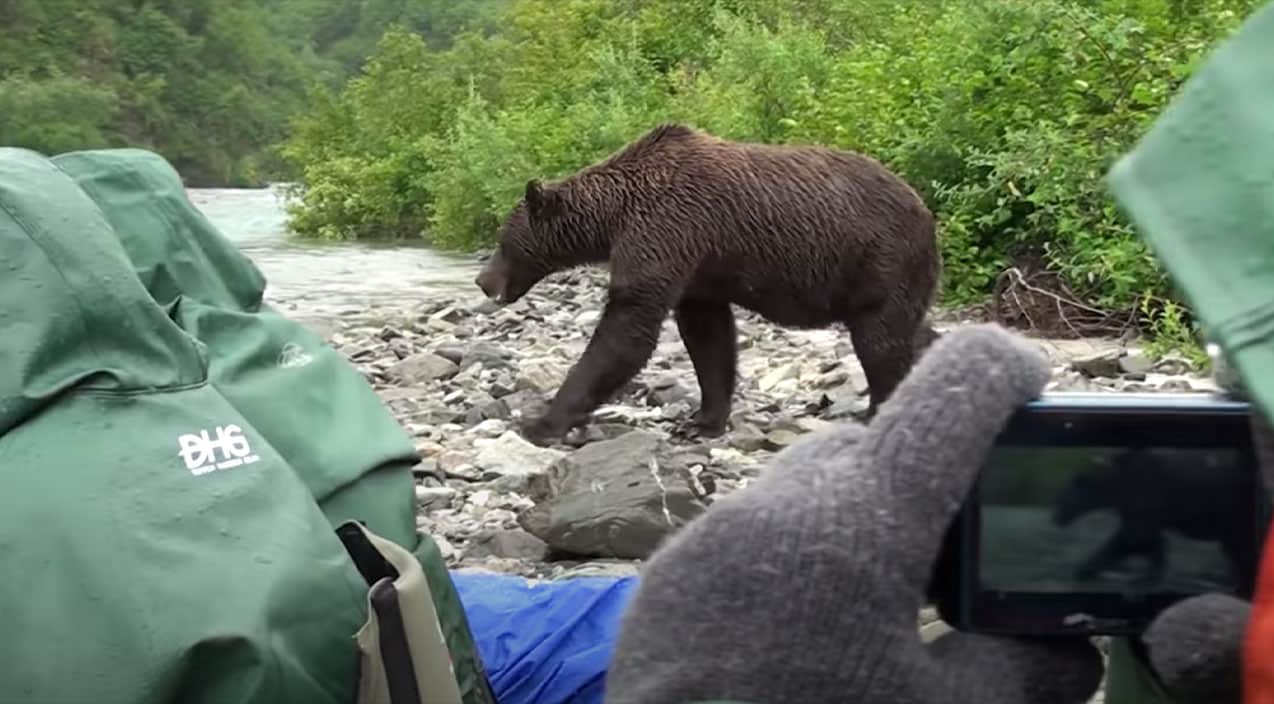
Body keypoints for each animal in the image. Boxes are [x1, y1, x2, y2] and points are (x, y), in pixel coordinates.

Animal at [473, 122, 942, 445]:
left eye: (502, 241)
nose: (481, 280)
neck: (615, 217)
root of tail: (925, 210)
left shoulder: (666, 230)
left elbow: (627, 327)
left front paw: (542, 421)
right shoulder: (700, 267)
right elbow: (708, 338)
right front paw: (702, 420)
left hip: (880, 259)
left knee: (879, 339)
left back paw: (879, 409)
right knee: (909, 329)